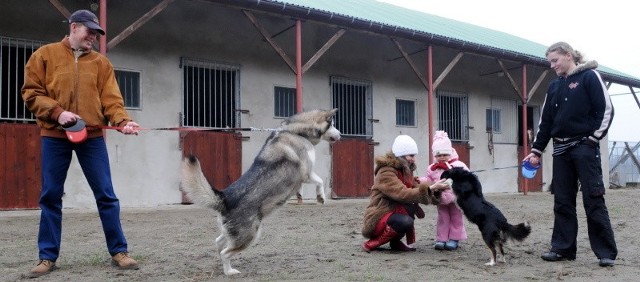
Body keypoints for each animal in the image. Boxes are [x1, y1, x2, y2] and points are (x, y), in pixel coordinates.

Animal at [180, 108, 340, 276]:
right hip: (249, 236)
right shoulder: (306, 173)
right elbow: (320, 181)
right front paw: (321, 197)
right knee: (225, 252)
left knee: (219, 244)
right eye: (332, 125)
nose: (341, 134)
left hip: (231, 234)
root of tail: (224, 198)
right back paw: (229, 271)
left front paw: (302, 195)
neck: (295, 131)